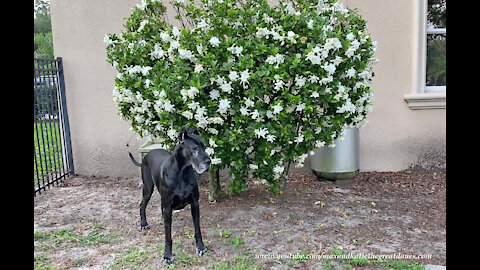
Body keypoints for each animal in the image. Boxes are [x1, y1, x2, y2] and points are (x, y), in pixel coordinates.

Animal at [128, 126, 211, 264]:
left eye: (204, 147)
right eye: (194, 148)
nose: (209, 161)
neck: (183, 172)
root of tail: (147, 154)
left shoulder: (195, 203)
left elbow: (197, 228)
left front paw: (200, 248)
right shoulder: (168, 206)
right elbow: (168, 235)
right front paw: (167, 255)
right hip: (148, 188)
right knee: (142, 205)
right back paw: (143, 224)